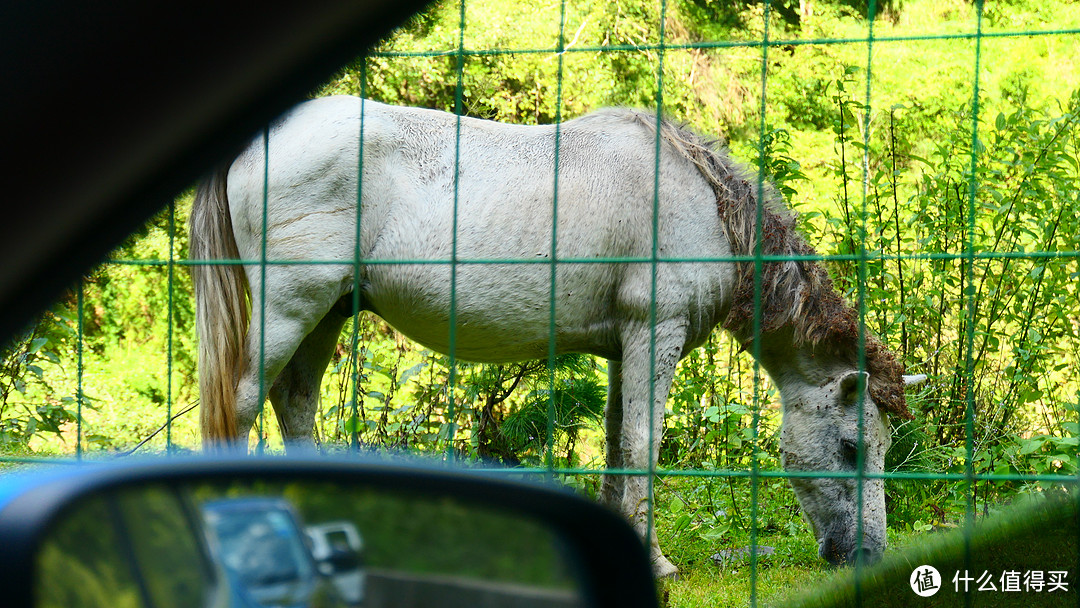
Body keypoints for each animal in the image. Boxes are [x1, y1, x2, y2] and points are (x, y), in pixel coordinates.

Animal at [190, 97, 924, 578]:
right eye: (853, 446)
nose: (869, 557)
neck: (705, 205)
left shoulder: (625, 349)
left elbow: (617, 446)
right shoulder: (654, 336)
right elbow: (643, 446)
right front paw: (658, 564)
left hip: (328, 313)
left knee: (295, 401)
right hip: (292, 308)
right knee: (244, 403)